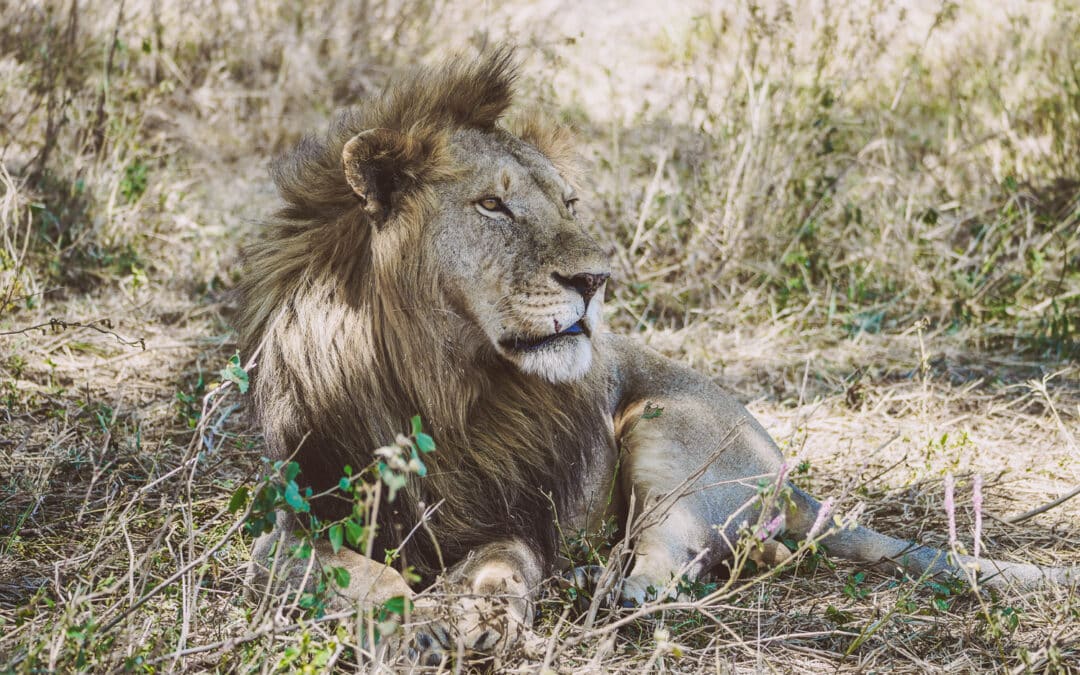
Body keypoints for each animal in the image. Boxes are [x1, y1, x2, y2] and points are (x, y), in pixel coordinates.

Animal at [238, 48, 1080, 665]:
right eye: (492, 205)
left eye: (567, 204)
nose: (595, 278)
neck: (441, 382)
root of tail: (790, 471)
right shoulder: (288, 525)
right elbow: (359, 572)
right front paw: (412, 620)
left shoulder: (517, 516)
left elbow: (502, 568)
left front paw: (476, 615)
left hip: (666, 427)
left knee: (672, 560)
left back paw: (607, 583)